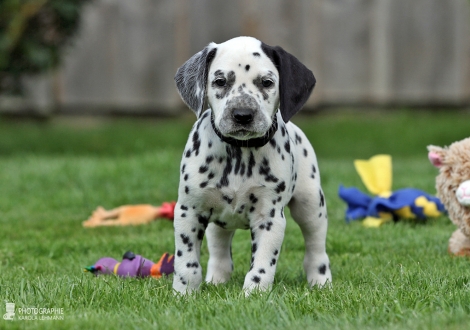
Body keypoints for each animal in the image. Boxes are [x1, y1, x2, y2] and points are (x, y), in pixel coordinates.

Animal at [172, 36, 330, 294]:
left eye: (267, 82)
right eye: (220, 81)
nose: (242, 114)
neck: (239, 154)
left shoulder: (270, 218)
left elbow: (262, 265)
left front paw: (254, 294)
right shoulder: (189, 211)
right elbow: (187, 263)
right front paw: (184, 293)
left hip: (311, 205)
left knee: (316, 249)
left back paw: (321, 281)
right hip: (218, 222)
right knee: (220, 251)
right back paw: (216, 279)